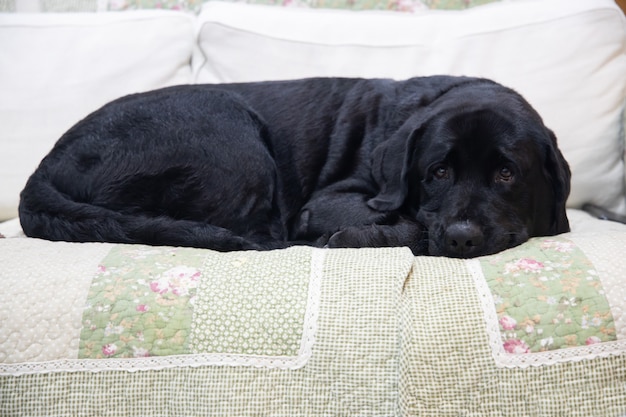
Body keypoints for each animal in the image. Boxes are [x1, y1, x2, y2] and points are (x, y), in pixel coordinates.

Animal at [18, 75, 564, 256]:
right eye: (438, 172)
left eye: (507, 173)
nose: (462, 237)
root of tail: (44, 166)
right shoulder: (326, 202)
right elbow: (407, 220)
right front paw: (361, 237)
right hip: (233, 136)